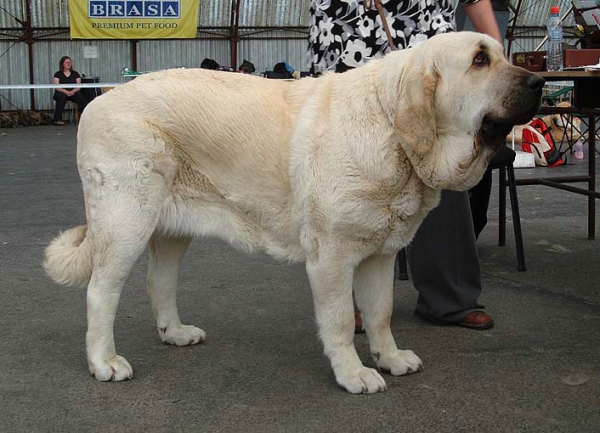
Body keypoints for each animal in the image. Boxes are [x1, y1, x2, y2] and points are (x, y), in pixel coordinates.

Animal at [45, 32, 544, 394]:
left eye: (503, 54)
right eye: (479, 61)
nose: (539, 82)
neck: (390, 127)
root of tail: (98, 100)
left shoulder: (380, 256)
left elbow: (379, 314)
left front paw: (390, 357)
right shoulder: (332, 259)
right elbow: (341, 320)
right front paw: (354, 374)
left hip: (169, 228)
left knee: (158, 281)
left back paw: (175, 332)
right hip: (126, 221)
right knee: (100, 293)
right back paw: (104, 362)